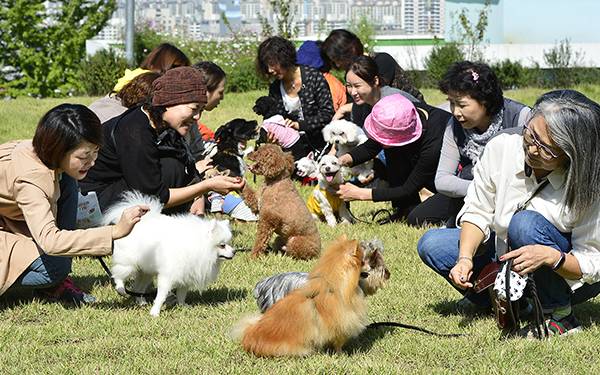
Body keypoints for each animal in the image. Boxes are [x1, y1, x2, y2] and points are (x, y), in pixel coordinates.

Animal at [102, 191, 236, 318]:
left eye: (229, 244)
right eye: (222, 245)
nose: (234, 251)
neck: (195, 244)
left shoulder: (186, 274)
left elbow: (182, 293)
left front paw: (182, 305)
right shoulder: (167, 276)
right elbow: (161, 296)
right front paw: (155, 312)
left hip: (146, 271)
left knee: (138, 288)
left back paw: (141, 302)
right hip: (130, 265)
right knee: (117, 274)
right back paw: (121, 288)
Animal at [237, 236, 368, 356]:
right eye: (362, 262)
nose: (370, 266)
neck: (333, 287)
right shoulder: (341, 326)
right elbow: (338, 344)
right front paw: (341, 354)